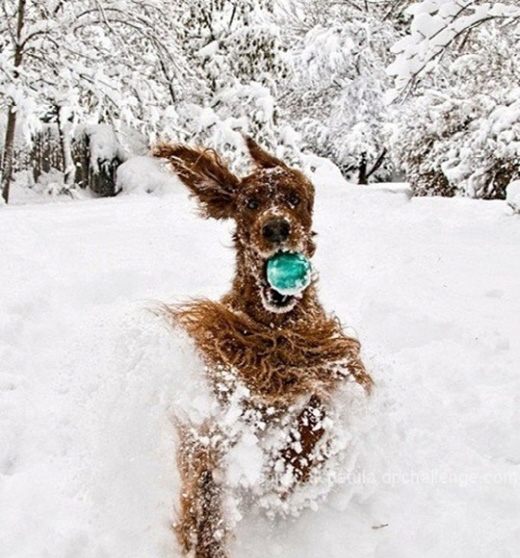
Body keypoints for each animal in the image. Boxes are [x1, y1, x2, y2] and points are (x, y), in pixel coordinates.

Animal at [152, 139, 372, 558]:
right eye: (251, 202)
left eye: (294, 198)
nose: (276, 227)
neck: (274, 329)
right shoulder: (219, 394)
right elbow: (204, 469)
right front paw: (203, 533)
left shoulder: (316, 365)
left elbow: (312, 417)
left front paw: (292, 469)